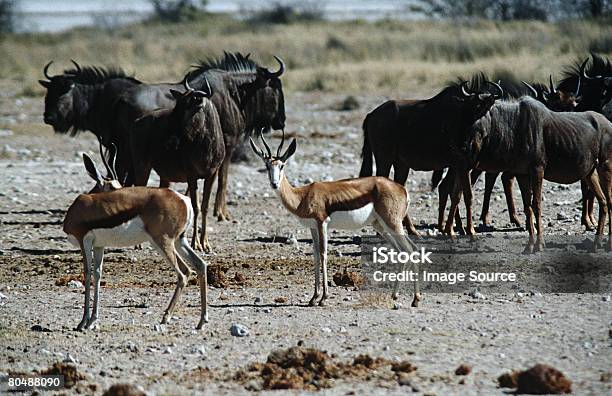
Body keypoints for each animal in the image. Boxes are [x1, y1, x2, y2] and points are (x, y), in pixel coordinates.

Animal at [63, 145, 209, 332]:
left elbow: (87, 274)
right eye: (114, 187)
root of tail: (183, 199)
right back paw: (201, 321)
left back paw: (165, 318)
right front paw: (93, 320)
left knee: (183, 274)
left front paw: (83, 322)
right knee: (200, 265)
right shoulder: (99, 245)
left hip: (162, 242)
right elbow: (97, 274)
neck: (80, 209)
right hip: (178, 241)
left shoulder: (84, 241)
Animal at [249, 131, 420, 308]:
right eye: (267, 166)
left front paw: (323, 298)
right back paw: (395, 295)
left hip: (392, 224)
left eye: (282, 165)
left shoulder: (322, 223)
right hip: (381, 226)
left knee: (410, 250)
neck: (302, 196)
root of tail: (402, 189)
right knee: (405, 251)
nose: (274, 184)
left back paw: (415, 299)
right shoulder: (312, 227)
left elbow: (323, 254)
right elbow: (316, 255)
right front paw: (313, 298)